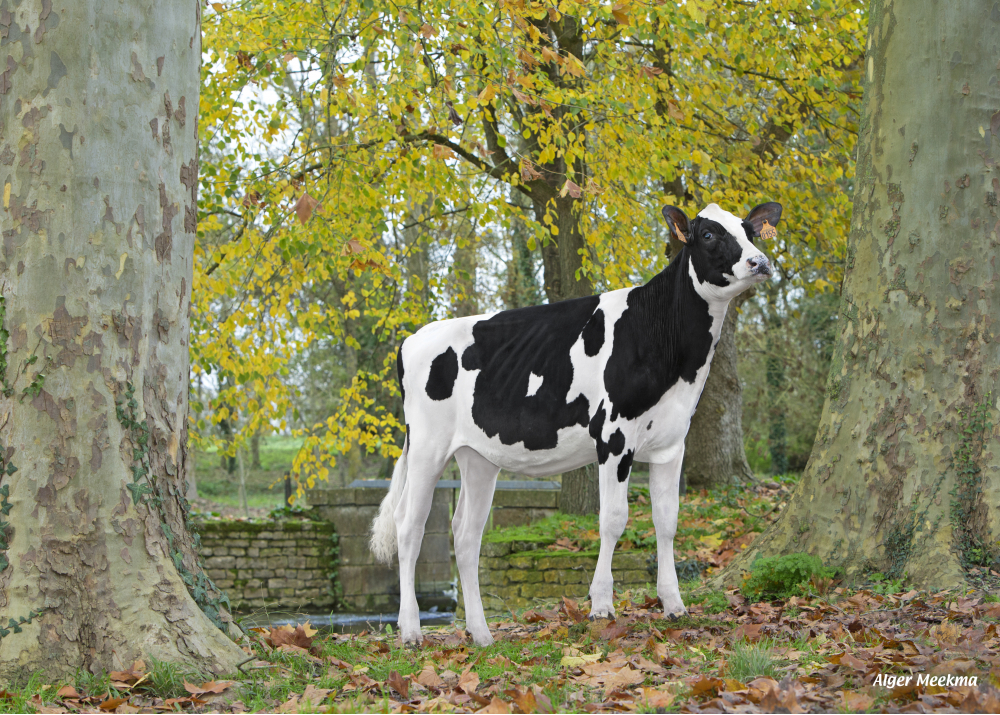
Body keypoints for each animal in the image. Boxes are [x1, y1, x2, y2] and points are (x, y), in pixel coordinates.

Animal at [370, 199, 780, 648]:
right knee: (409, 526)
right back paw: (411, 630)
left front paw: (673, 604)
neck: (671, 350)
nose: (760, 262)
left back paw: (480, 633)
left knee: (465, 533)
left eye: (749, 231)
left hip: (477, 456)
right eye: (707, 234)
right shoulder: (614, 436)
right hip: (427, 445)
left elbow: (668, 520)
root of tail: (411, 339)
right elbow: (613, 519)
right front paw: (601, 605)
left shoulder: (672, 443)